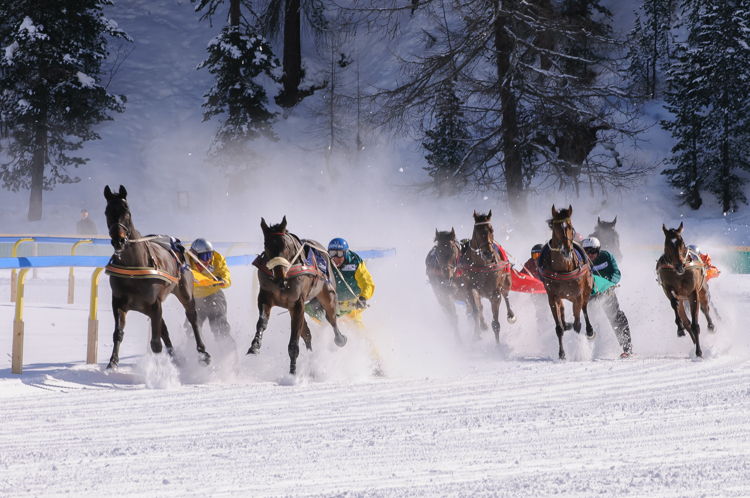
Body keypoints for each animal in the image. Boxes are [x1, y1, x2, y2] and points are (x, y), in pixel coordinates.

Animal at [101, 184, 210, 370]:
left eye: (127, 211)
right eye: (107, 211)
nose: (119, 241)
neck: (133, 270)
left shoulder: (154, 302)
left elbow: (156, 343)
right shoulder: (119, 301)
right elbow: (118, 333)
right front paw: (112, 363)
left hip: (184, 292)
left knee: (192, 318)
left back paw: (203, 353)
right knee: (164, 329)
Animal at [250, 216, 350, 376]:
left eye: (285, 245)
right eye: (266, 245)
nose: (279, 277)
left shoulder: (297, 303)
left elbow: (294, 342)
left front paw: (293, 372)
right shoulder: (266, 295)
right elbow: (262, 321)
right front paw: (255, 345)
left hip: (327, 290)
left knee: (331, 317)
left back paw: (340, 339)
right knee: (307, 334)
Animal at [462, 210, 520, 342]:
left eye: (491, 230)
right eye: (476, 231)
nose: (488, 253)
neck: (481, 265)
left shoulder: (494, 292)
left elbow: (496, 323)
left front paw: (498, 346)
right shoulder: (469, 287)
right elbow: (475, 311)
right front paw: (477, 333)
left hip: (506, 279)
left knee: (506, 293)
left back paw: (511, 315)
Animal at [536, 204, 596, 360]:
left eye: (570, 226)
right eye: (555, 227)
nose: (566, 250)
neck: (563, 268)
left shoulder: (577, 294)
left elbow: (578, 324)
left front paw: (578, 351)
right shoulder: (552, 296)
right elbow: (559, 327)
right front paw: (561, 353)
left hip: (586, 288)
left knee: (584, 307)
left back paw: (589, 330)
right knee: (562, 312)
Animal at [656, 223, 716, 358]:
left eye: (682, 242)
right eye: (667, 243)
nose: (679, 265)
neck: (678, 273)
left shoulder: (693, 292)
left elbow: (696, 322)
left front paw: (699, 352)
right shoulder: (668, 287)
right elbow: (675, 303)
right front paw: (680, 328)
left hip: (703, 289)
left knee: (705, 308)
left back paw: (711, 326)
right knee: (686, 321)